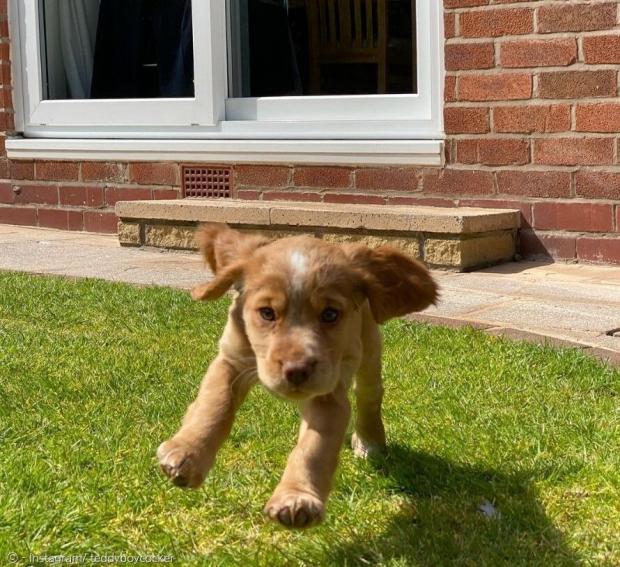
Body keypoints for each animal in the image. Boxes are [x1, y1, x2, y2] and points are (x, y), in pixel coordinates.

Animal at [156, 224, 436, 532]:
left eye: (330, 314)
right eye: (267, 313)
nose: (297, 370)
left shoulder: (329, 393)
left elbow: (313, 448)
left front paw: (296, 499)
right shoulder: (230, 361)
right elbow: (213, 406)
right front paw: (187, 455)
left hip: (370, 352)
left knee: (370, 397)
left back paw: (369, 442)